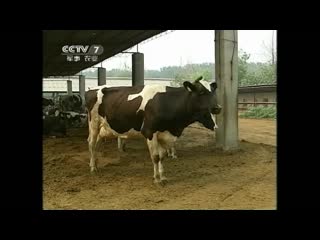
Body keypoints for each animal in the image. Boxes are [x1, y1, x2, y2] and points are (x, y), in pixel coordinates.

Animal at [84, 77, 222, 184]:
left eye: (213, 92)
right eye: (201, 92)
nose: (217, 108)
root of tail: (92, 89)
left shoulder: (164, 134)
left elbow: (162, 156)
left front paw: (163, 177)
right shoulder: (149, 131)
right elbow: (155, 157)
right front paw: (156, 178)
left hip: (103, 128)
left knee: (96, 144)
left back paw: (95, 163)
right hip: (93, 123)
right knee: (91, 143)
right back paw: (92, 167)